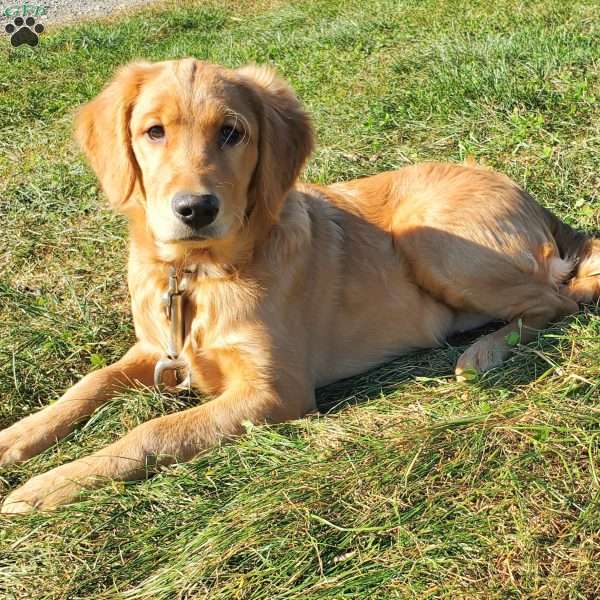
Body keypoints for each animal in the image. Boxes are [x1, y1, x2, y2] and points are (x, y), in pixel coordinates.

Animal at [1, 59, 600, 510]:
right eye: (154, 132)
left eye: (232, 132)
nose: (195, 209)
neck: (196, 275)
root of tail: (537, 205)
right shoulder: (156, 348)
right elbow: (90, 382)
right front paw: (16, 437)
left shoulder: (277, 391)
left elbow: (154, 432)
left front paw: (50, 485)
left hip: (428, 235)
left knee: (558, 300)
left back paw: (482, 352)